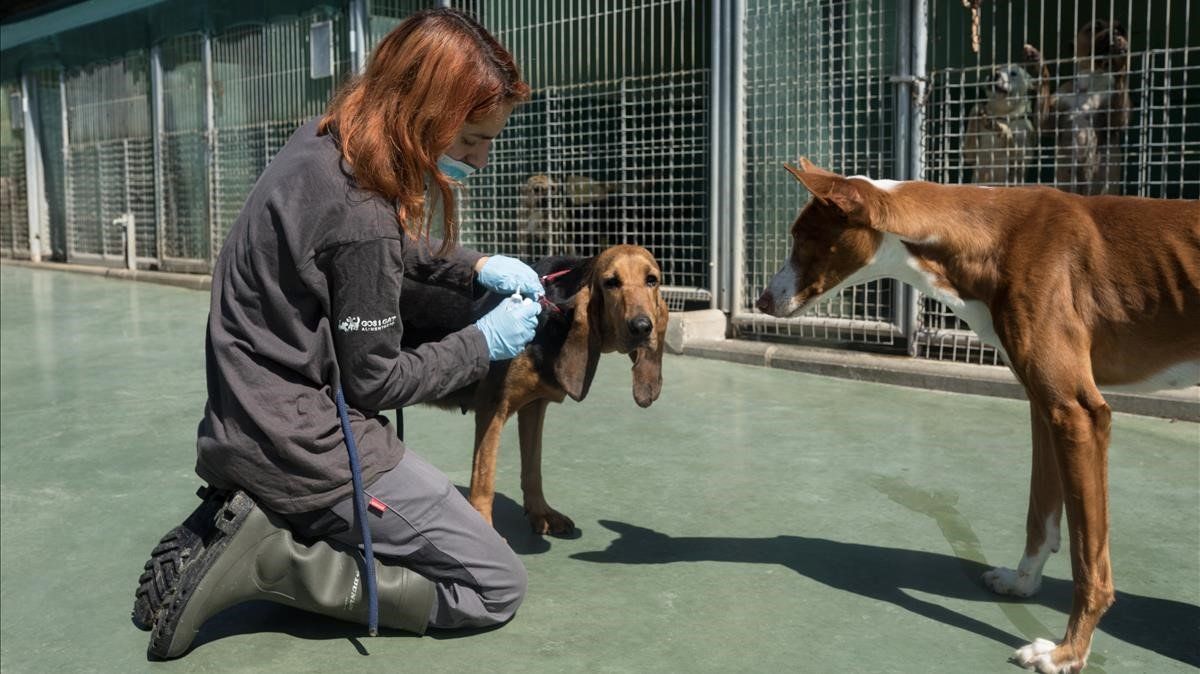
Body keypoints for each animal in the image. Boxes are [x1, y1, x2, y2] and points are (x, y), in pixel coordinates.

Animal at [400, 243, 667, 532]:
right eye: (611, 282)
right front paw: (485, 528)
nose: (642, 327)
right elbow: (484, 479)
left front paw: (541, 513)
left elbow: (532, 467)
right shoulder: (492, 407)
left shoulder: (534, 406)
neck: (556, 314)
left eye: (652, 280)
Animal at [758, 158, 1200, 671]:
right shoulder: (1045, 407)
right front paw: (1023, 583)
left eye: (801, 238)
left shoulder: (1079, 413)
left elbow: (1088, 559)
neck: (992, 237)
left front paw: (1068, 652)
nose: (762, 301)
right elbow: (1040, 516)